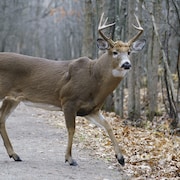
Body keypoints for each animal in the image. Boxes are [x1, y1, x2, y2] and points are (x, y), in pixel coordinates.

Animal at [0, 13, 145, 167]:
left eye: (129, 52)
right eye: (115, 52)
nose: (126, 64)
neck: (93, 78)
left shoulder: (91, 110)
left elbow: (108, 126)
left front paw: (121, 158)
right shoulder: (68, 100)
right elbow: (71, 129)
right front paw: (69, 158)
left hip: (12, 98)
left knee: (2, 119)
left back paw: (14, 154)